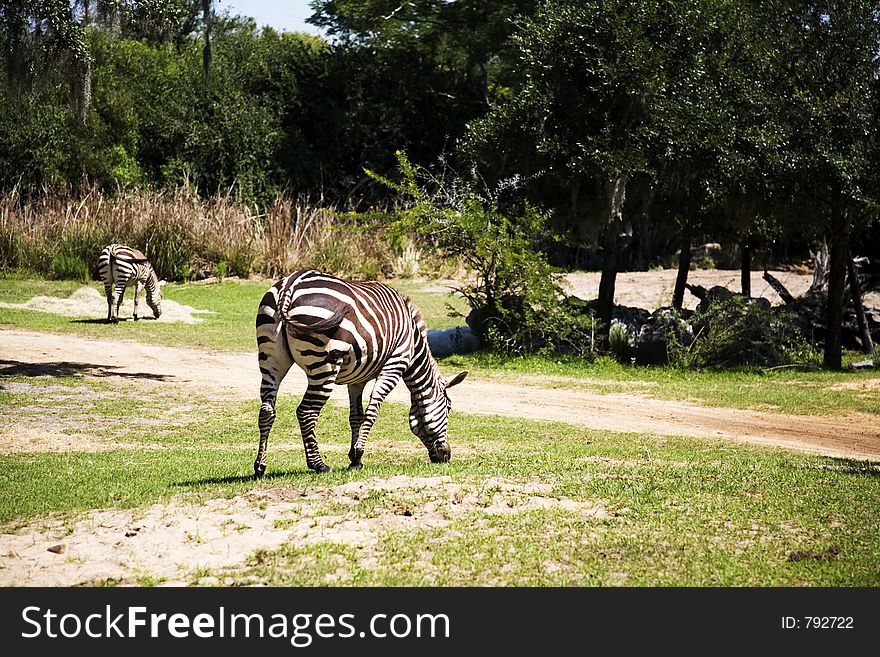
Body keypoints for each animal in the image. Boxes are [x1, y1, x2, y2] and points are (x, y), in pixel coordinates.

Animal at [254, 268, 468, 476]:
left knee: (267, 411)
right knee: (306, 412)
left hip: (271, 360)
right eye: (449, 408)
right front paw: (358, 452)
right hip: (324, 366)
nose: (446, 456)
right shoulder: (395, 365)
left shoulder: (356, 379)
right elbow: (372, 410)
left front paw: (355, 460)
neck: (414, 344)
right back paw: (319, 465)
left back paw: (260, 467)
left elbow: (356, 416)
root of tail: (291, 284)